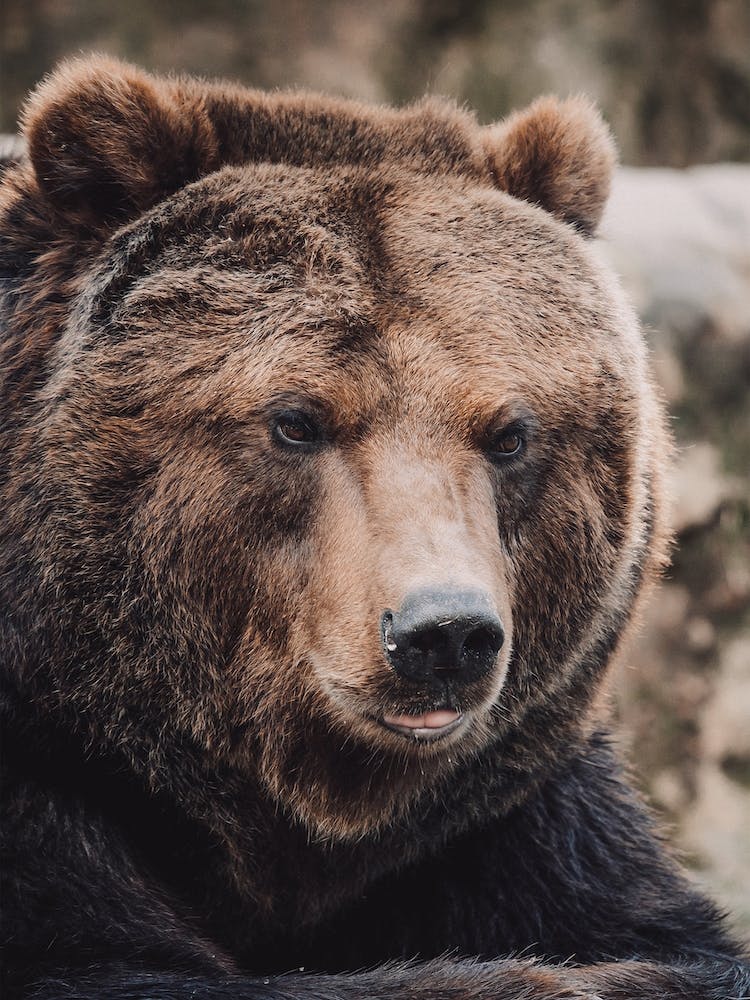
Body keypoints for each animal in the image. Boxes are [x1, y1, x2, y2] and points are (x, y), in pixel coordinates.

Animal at [0, 54, 748, 1000]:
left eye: (510, 431)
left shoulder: (509, 821)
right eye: (296, 419)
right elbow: (107, 960)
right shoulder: (40, 800)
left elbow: (658, 929)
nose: (442, 633)